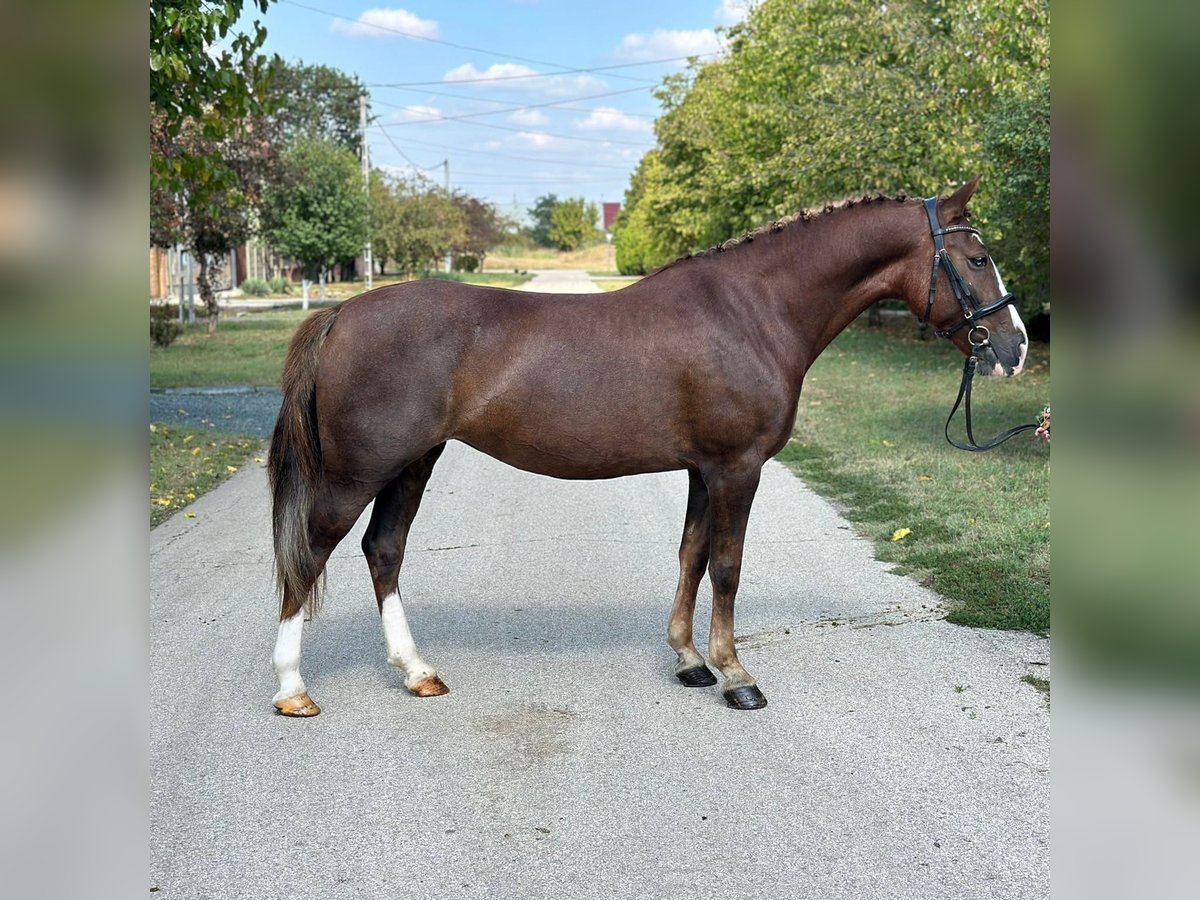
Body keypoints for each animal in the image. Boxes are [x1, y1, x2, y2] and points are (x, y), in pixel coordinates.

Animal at [267, 177, 1027, 720]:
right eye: (978, 258)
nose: (1015, 348)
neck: (752, 310)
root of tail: (343, 312)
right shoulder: (737, 469)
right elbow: (727, 566)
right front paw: (736, 676)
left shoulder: (701, 469)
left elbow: (691, 556)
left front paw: (690, 661)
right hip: (357, 473)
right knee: (310, 554)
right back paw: (293, 689)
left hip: (412, 464)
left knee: (384, 550)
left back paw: (417, 672)